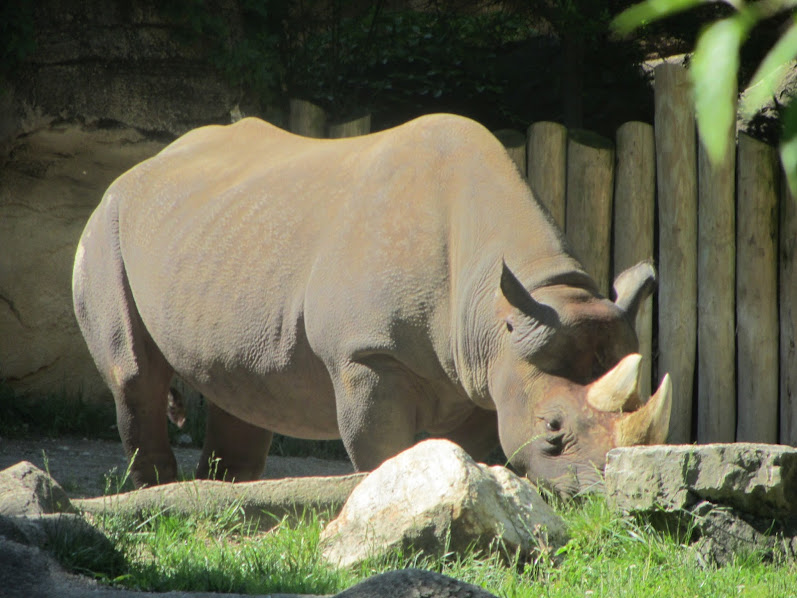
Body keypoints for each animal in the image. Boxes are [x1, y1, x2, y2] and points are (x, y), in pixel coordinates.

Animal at [72, 113, 671, 494]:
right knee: (135, 375)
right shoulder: (366, 355)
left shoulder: (484, 372)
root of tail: (140, 167)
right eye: (550, 427)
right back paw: (156, 493)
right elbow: (382, 450)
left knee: (238, 382)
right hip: (107, 226)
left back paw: (222, 490)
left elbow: (475, 451)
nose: (604, 497)